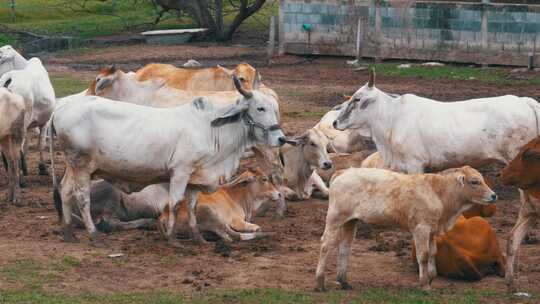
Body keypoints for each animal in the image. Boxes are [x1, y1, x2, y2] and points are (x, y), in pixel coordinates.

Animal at [49, 77, 286, 246]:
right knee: (82, 197)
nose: (281, 138)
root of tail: (59, 110)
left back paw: (68, 232)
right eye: (260, 108)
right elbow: (174, 203)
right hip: (82, 166)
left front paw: (198, 237)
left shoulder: (195, 177)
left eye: (274, 108)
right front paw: (171, 239)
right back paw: (94, 235)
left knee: (65, 190)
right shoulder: (180, 172)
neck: (211, 129)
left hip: (73, 166)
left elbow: (191, 207)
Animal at [316, 166, 498, 292]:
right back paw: (319, 283)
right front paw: (424, 285)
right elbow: (423, 255)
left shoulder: (432, 230)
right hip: (334, 219)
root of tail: (344, 172)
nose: (494, 195)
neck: (438, 193)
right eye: (474, 181)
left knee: (344, 248)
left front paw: (431, 278)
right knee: (325, 245)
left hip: (350, 221)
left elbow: (433, 253)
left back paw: (344, 281)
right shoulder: (421, 229)